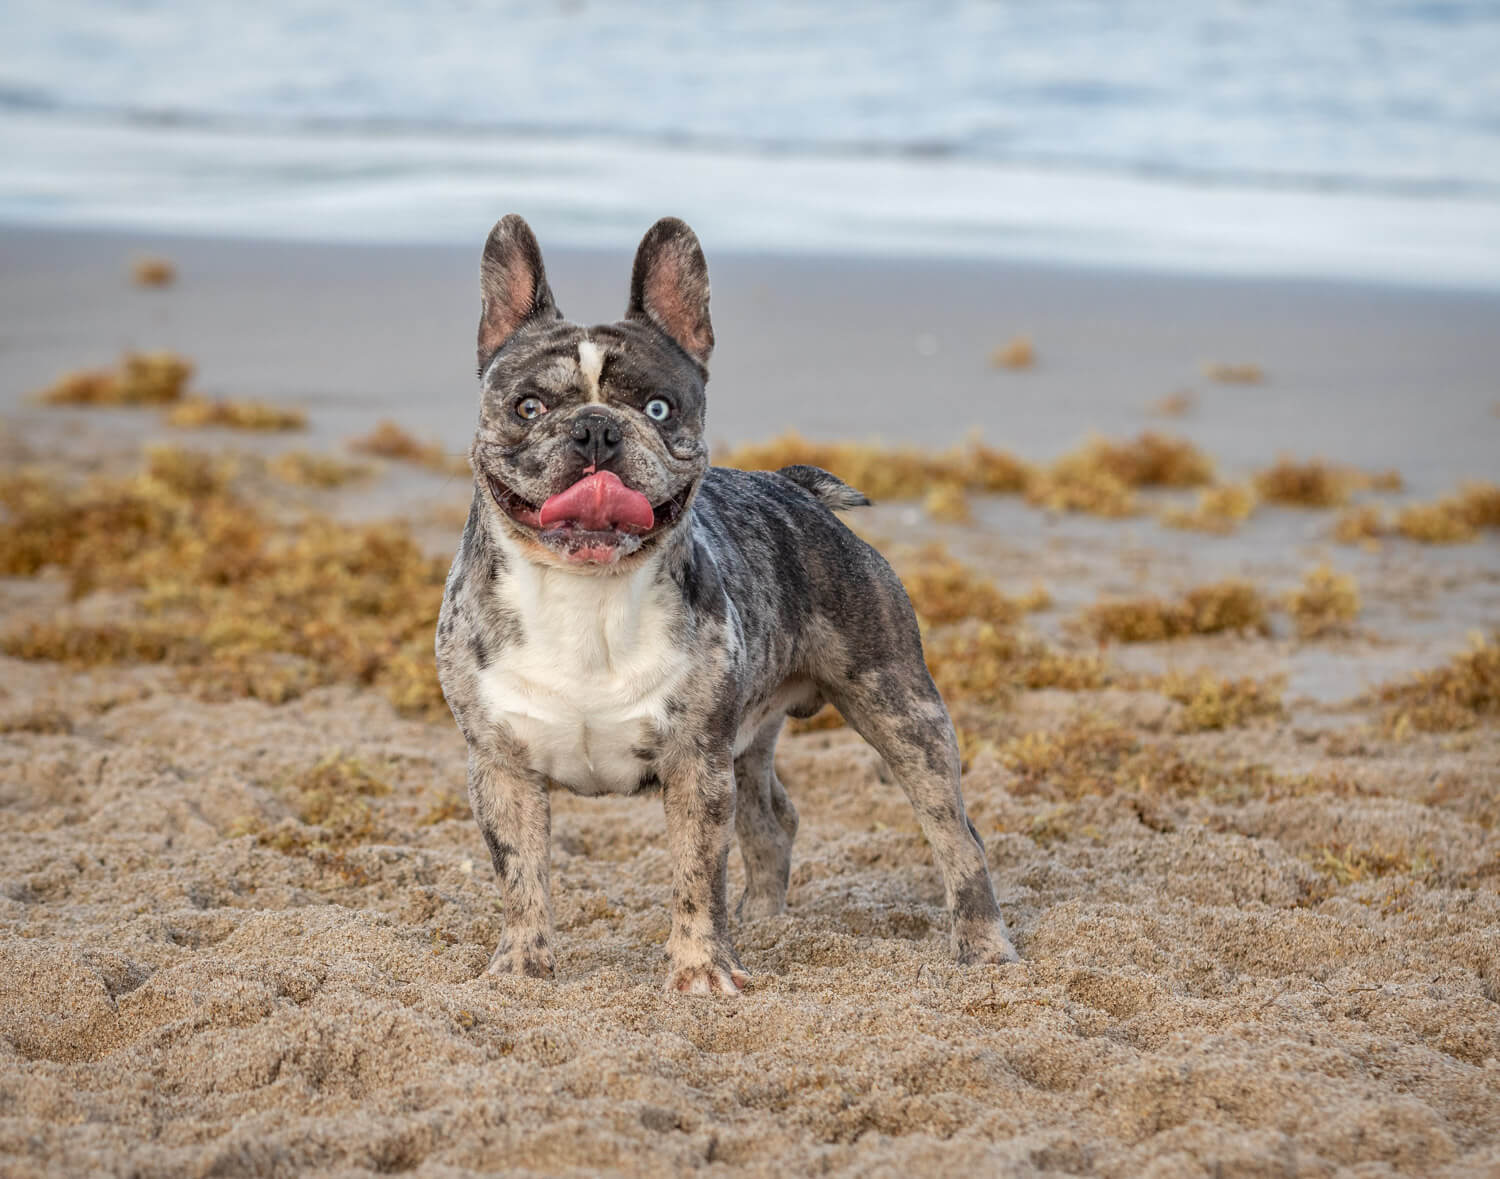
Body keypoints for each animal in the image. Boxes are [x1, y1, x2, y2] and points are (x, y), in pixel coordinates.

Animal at [435, 213, 1020, 990]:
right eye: (528, 407)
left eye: (659, 408)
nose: (596, 428)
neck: (588, 597)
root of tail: (796, 489)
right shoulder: (501, 767)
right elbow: (522, 877)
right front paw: (521, 969)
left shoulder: (697, 764)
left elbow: (695, 873)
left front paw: (700, 971)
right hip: (757, 736)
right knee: (773, 820)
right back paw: (766, 922)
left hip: (902, 709)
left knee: (955, 832)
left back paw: (984, 945)